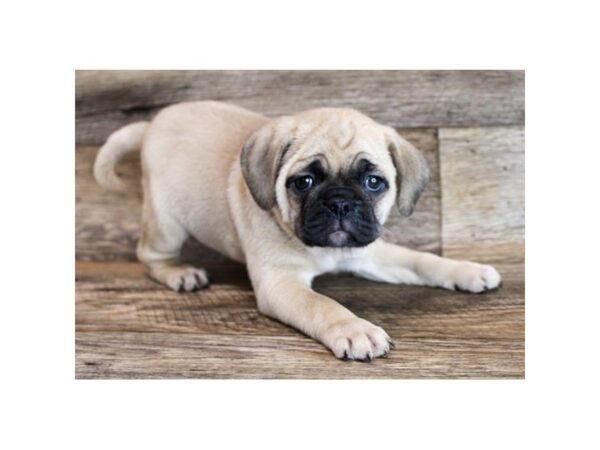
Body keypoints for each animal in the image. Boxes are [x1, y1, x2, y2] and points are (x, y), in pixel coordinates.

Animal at [95, 100, 502, 360]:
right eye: (303, 182)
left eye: (374, 182)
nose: (340, 203)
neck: (326, 250)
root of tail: (151, 125)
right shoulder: (281, 284)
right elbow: (322, 305)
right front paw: (354, 329)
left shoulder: (370, 252)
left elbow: (421, 260)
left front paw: (466, 270)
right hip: (166, 221)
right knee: (149, 254)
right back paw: (178, 273)